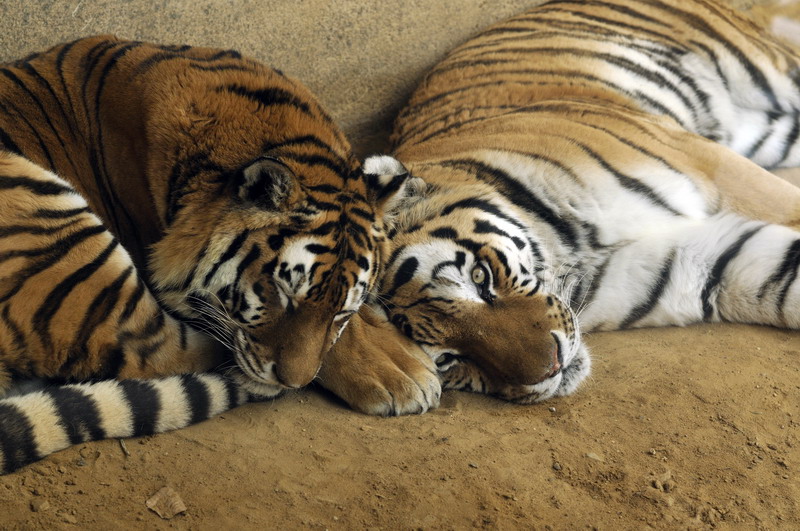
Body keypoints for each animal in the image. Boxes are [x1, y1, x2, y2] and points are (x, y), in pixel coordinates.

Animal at [374, 0, 800, 404]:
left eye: (481, 278)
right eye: (448, 358)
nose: (552, 366)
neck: (573, 258)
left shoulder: (712, 165)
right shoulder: (694, 259)